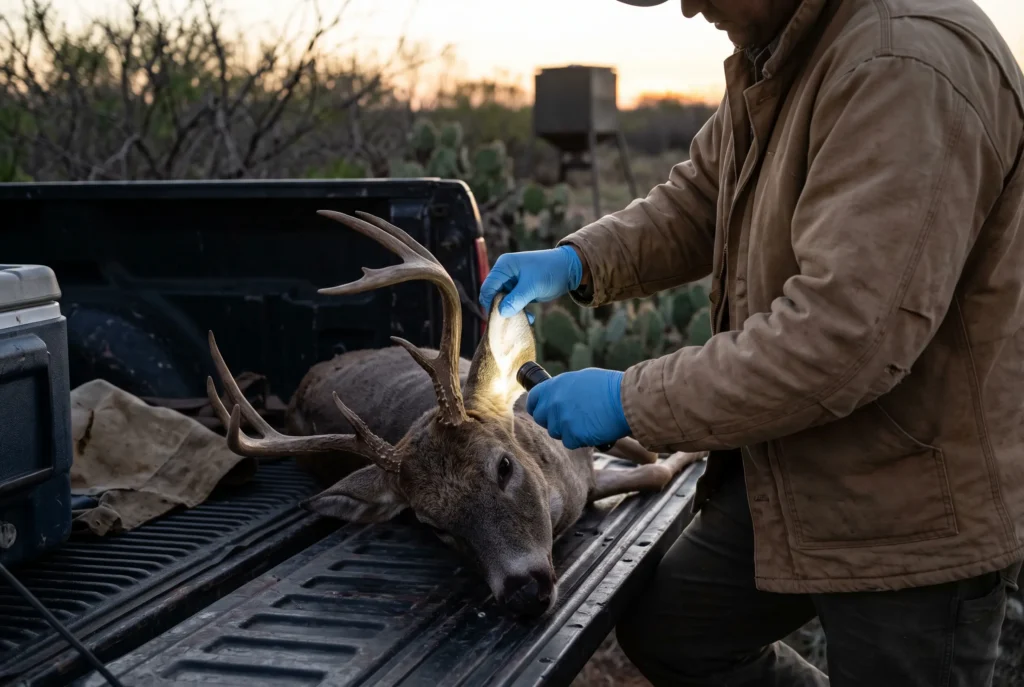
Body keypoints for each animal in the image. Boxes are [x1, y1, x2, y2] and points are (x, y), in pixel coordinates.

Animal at [204, 209, 705, 618]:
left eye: (504, 467)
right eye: (431, 525)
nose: (524, 592)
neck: (568, 487)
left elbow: (649, 458)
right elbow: (655, 470)